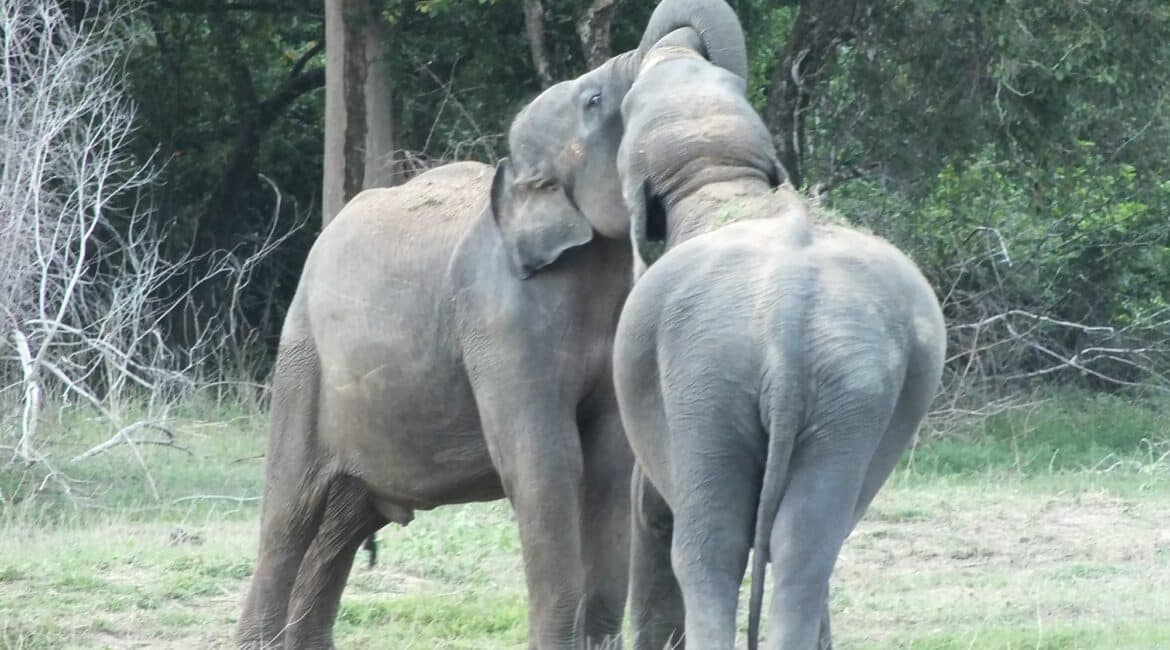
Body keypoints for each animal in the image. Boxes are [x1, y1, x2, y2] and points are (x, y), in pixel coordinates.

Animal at [607, 33, 947, 650]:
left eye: (628, 109)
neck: (725, 181)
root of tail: (789, 316)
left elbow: (653, 504)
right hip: (849, 391)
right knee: (805, 544)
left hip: (707, 375)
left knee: (710, 547)